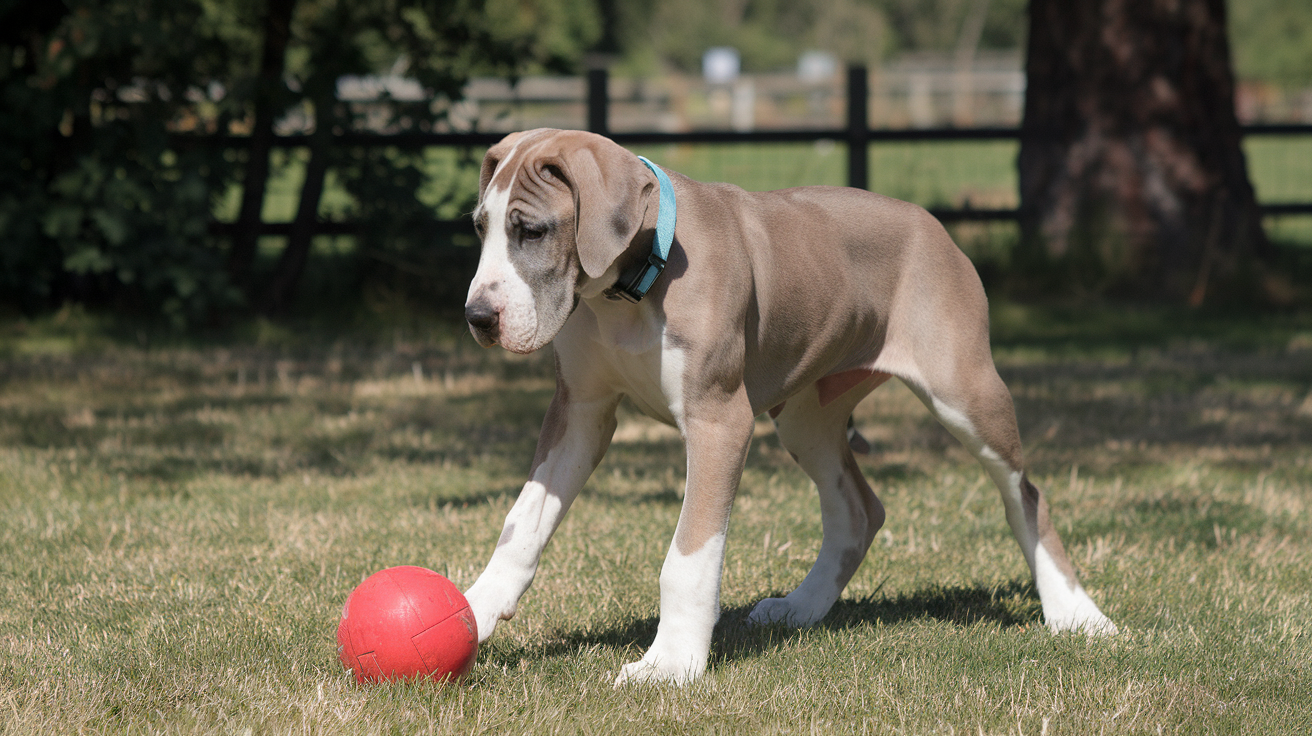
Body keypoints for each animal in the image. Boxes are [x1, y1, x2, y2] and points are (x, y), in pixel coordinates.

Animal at [461, 129, 1117, 687]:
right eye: (481, 229)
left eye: (533, 231)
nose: (477, 318)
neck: (629, 289)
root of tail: (932, 223)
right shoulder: (580, 414)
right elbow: (520, 526)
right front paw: (474, 611)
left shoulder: (719, 423)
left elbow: (688, 557)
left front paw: (670, 663)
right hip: (807, 416)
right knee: (859, 510)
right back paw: (801, 606)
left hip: (966, 395)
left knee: (1024, 495)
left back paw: (1076, 614)